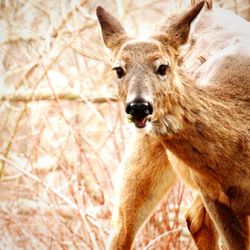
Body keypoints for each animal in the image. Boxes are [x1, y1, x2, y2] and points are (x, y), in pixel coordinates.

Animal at [96, 0, 250, 249]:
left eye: (162, 67)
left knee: (193, 218)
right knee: (123, 226)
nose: (139, 106)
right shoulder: (213, 195)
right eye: (119, 69)